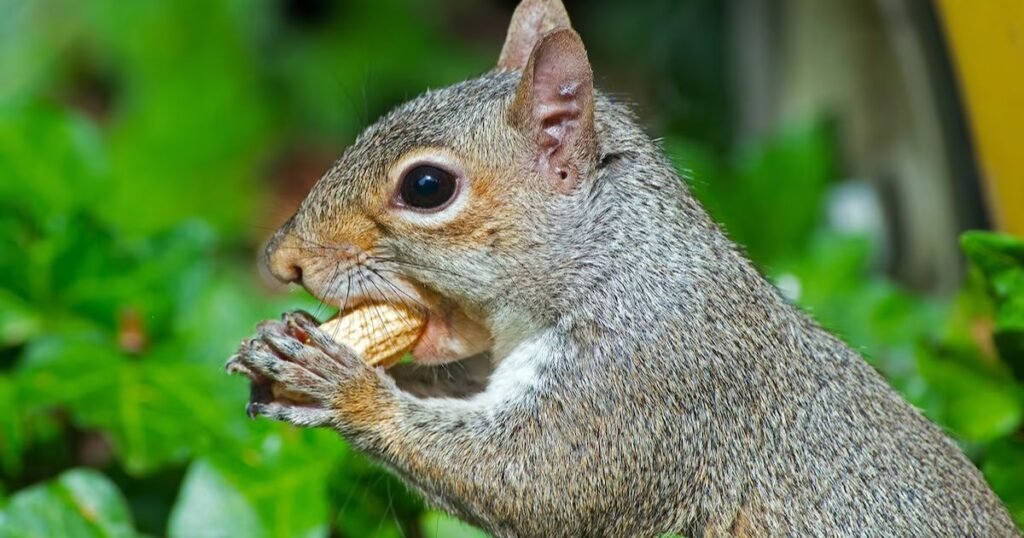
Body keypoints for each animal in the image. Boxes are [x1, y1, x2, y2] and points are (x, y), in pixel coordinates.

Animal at [226, 0, 1019, 535]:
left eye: (426, 187)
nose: (282, 259)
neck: (615, 263)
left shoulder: (644, 385)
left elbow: (533, 482)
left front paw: (342, 385)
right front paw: (280, 346)